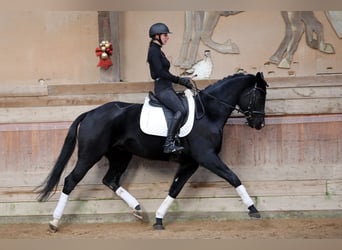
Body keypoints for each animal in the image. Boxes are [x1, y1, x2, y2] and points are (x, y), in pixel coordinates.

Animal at [36, 71, 268, 231]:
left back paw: (138, 210)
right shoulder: (207, 157)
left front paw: (158, 219)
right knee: (70, 181)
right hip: (90, 154)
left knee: (110, 180)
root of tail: (91, 112)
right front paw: (253, 209)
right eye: (259, 96)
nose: (259, 124)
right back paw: (54, 222)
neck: (208, 113)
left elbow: (174, 189)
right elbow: (233, 177)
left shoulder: (190, 162)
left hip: (121, 155)